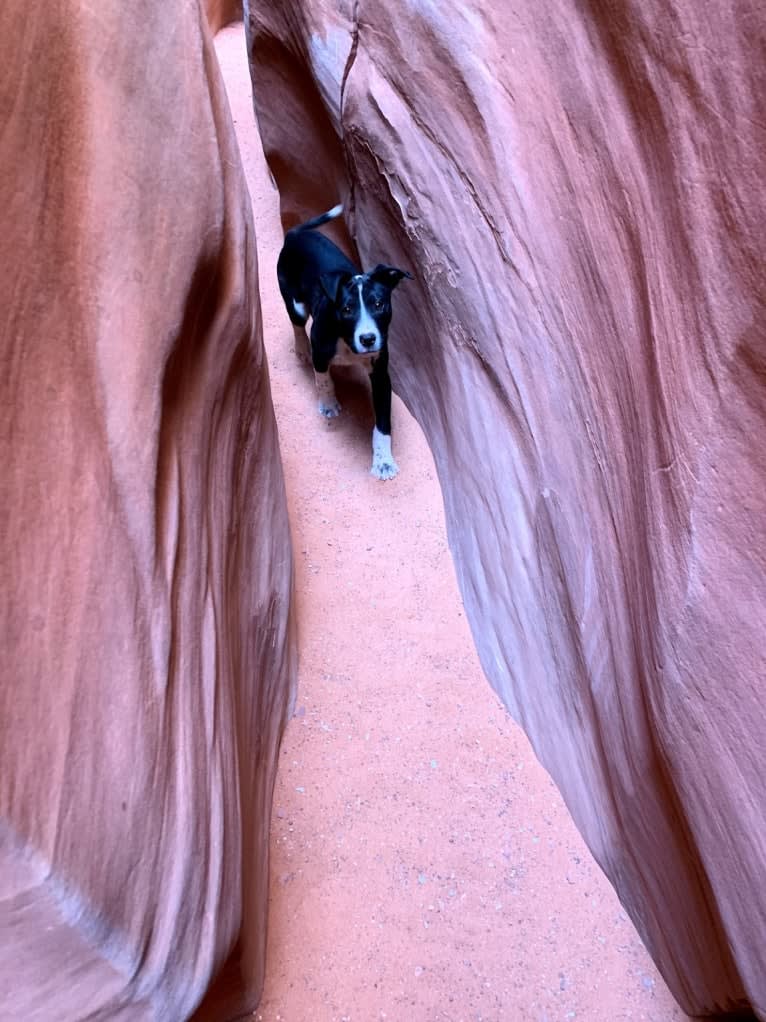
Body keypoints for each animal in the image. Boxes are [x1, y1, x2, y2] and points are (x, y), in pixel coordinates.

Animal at [277, 206, 410, 482]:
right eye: (347, 309)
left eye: (379, 304)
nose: (368, 338)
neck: (347, 342)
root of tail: (295, 234)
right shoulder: (321, 349)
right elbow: (323, 380)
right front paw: (328, 405)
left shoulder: (380, 373)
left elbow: (383, 422)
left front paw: (383, 461)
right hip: (295, 303)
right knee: (297, 324)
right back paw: (301, 349)